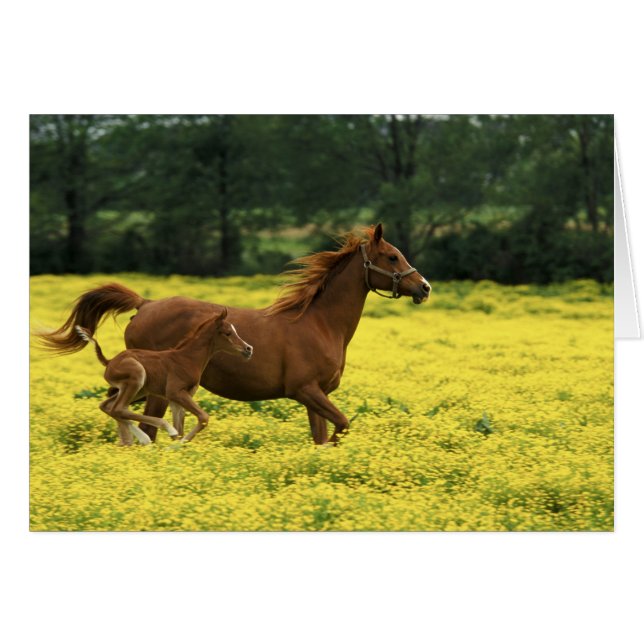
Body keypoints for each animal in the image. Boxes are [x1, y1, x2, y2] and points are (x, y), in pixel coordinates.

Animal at [74, 308, 253, 445]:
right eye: (228, 333)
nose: (248, 349)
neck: (187, 358)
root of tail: (109, 361)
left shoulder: (178, 398)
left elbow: (181, 427)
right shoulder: (174, 392)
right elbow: (202, 418)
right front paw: (177, 444)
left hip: (139, 389)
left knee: (109, 407)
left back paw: (136, 440)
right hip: (137, 377)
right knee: (118, 408)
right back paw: (152, 435)